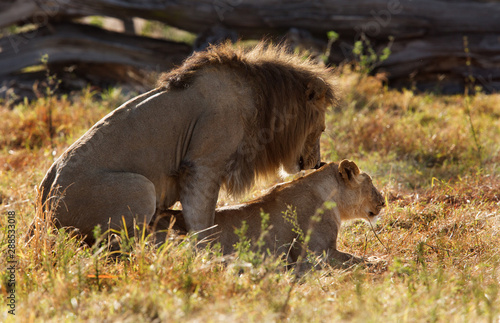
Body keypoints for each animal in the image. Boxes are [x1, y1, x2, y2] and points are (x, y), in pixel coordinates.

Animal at [33, 43, 338, 246]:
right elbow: (202, 219)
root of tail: (42, 202)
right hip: (140, 187)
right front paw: (209, 253)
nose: (319, 163)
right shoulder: (202, 165)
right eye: (321, 129)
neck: (263, 99)